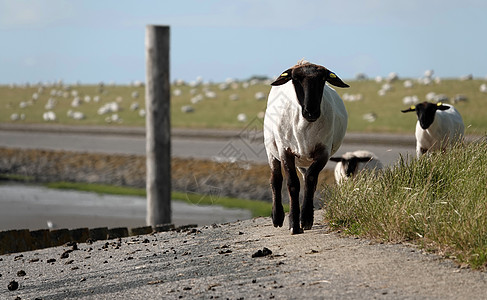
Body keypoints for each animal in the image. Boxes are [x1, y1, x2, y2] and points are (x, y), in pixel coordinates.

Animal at [264, 60, 348, 234]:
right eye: (295, 78)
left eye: (323, 79)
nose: (311, 112)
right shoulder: (285, 151)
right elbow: (292, 184)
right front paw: (294, 224)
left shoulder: (323, 152)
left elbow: (310, 179)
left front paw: (306, 219)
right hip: (271, 150)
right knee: (275, 179)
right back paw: (277, 217)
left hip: (304, 159)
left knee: (308, 178)